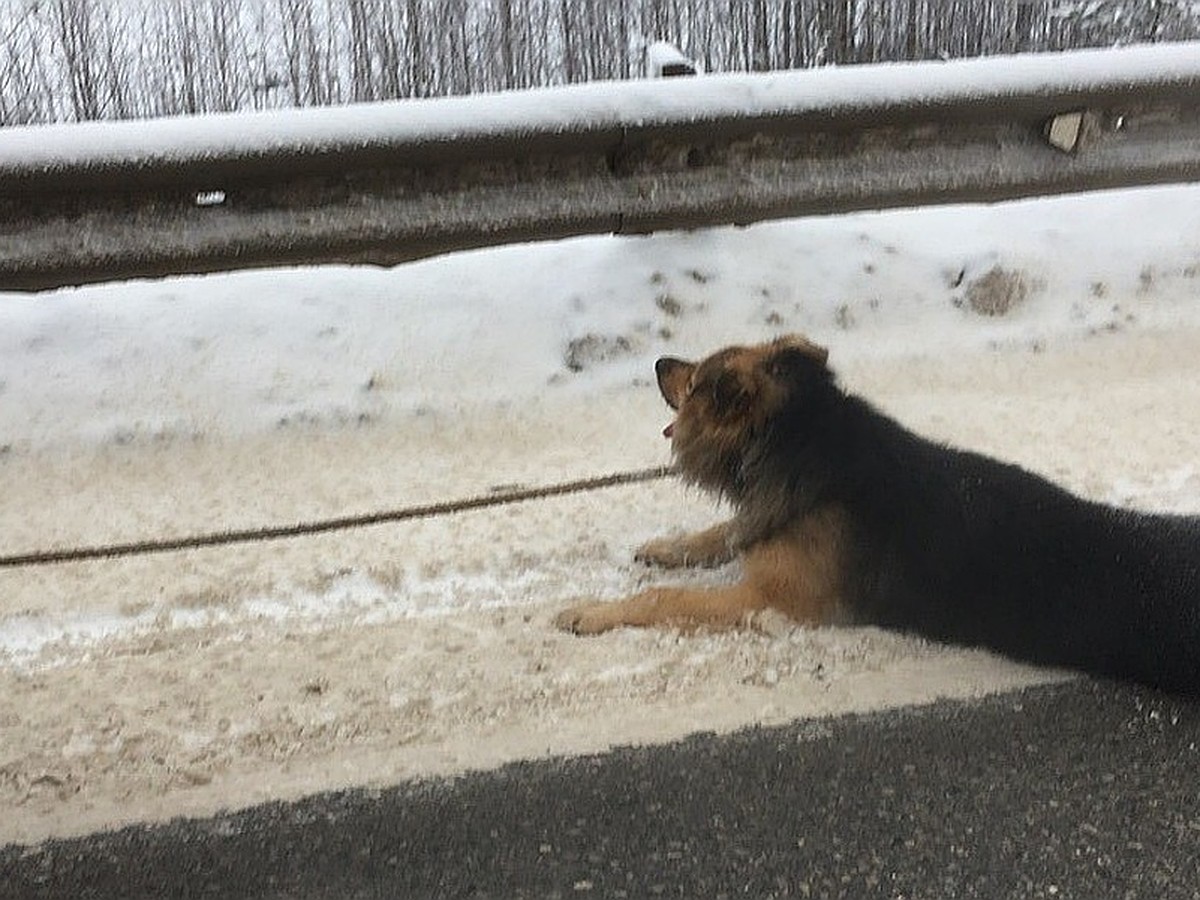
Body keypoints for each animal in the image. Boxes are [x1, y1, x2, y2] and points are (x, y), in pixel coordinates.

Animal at [556, 336, 1200, 696]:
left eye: (692, 379)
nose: (658, 361)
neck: (799, 435)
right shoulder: (762, 523)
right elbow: (721, 533)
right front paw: (665, 546)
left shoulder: (775, 601)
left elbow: (667, 598)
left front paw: (590, 612)